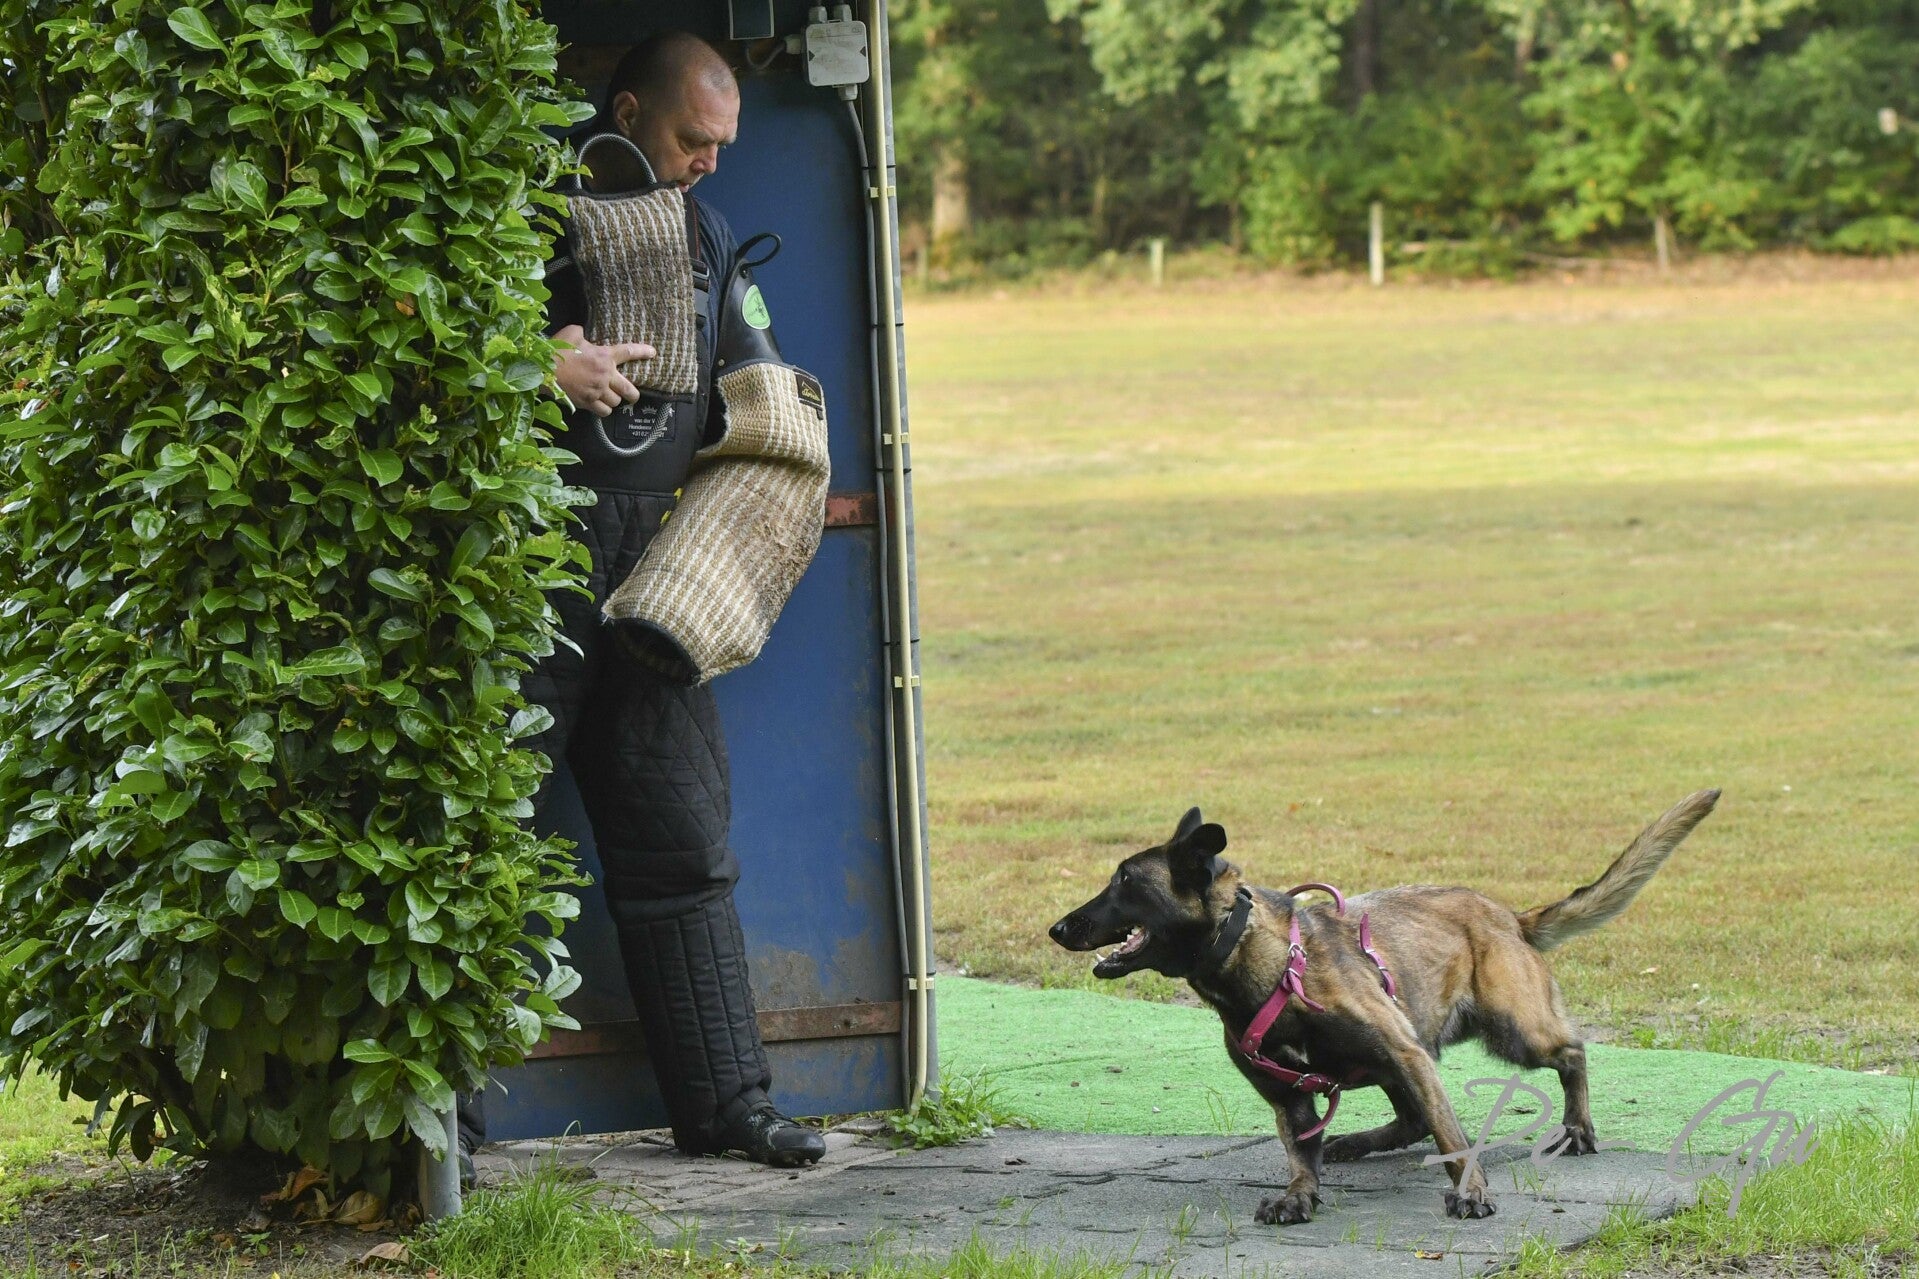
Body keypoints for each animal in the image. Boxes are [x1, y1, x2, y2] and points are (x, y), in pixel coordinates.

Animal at [1048, 790, 1719, 1224]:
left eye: (1126, 883)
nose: (1057, 928)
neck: (1258, 960)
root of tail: (1508, 915)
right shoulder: (1290, 1093)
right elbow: (1302, 1152)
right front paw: (1300, 1193)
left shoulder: (1405, 1052)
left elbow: (1452, 1135)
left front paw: (1470, 1192)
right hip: (1396, 1058)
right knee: (1412, 1118)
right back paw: (1359, 1141)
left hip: (1506, 1033)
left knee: (1571, 1052)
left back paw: (1578, 1126)